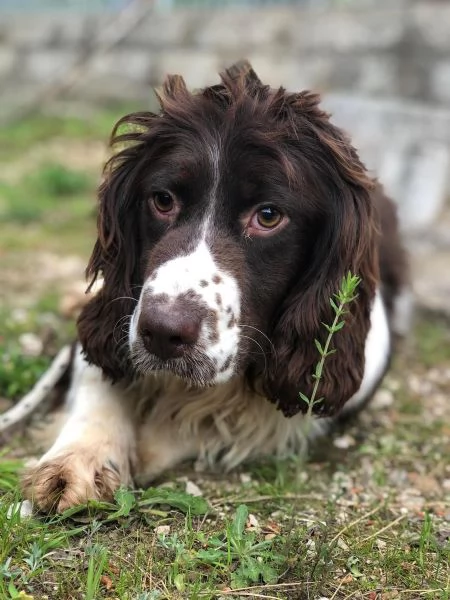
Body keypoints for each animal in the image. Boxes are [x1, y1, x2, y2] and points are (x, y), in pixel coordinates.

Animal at [21, 59, 410, 510]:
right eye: (163, 200)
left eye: (269, 215)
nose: (162, 333)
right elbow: (97, 375)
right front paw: (80, 457)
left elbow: (212, 421)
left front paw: (150, 443)